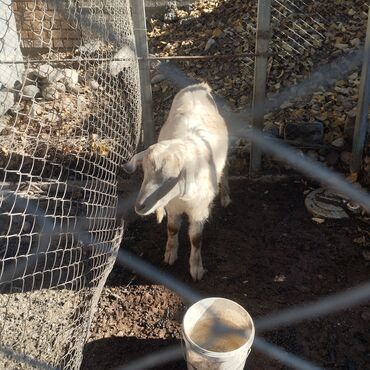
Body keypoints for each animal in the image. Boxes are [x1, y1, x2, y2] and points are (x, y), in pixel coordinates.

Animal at [123, 83, 230, 280]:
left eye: (172, 178)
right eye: (145, 172)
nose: (139, 206)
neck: (181, 197)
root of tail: (198, 86)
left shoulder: (199, 210)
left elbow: (196, 239)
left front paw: (196, 268)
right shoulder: (172, 206)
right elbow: (172, 228)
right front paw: (170, 254)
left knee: (225, 169)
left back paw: (225, 196)